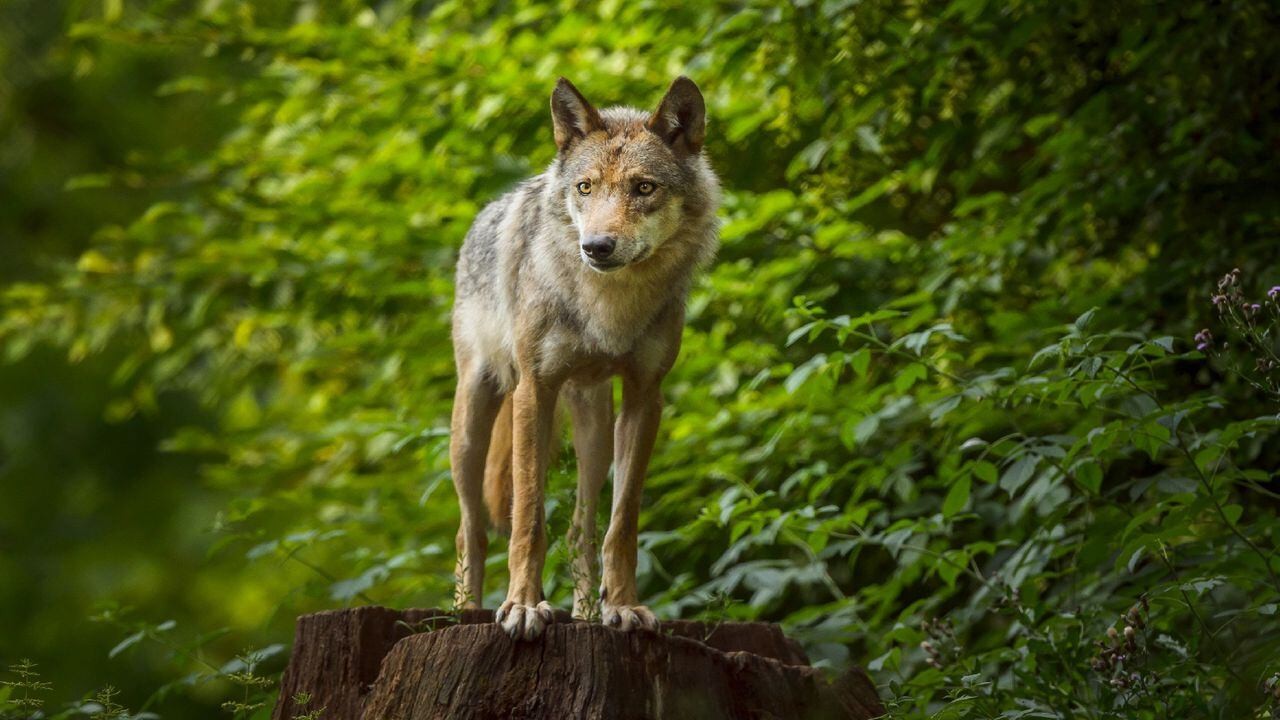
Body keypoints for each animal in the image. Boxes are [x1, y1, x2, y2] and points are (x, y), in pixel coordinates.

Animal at [449, 76, 720, 640]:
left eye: (644, 188)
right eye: (586, 188)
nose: (596, 246)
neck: (609, 307)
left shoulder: (645, 398)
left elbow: (622, 524)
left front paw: (624, 606)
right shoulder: (534, 390)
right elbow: (528, 519)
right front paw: (523, 607)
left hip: (594, 431)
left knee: (580, 529)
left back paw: (587, 615)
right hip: (471, 423)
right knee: (471, 529)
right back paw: (466, 611)